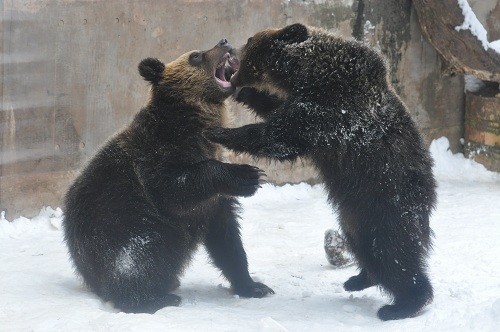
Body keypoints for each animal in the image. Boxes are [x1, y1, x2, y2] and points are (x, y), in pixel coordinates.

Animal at [63, 39, 274, 314]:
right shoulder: (156, 156)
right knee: (140, 255)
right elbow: (173, 190)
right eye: (196, 55)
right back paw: (153, 298)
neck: (191, 123)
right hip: (122, 224)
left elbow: (227, 239)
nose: (224, 41)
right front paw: (248, 175)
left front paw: (253, 286)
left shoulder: (213, 203)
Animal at [205, 24, 436, 320]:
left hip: (387, 205)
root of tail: (427, 203)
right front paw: (248, 95)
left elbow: (279, 137)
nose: (230, 45)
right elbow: (277, 112)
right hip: (355, 214)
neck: (308, 73)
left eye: (249, 39)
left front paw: (219, 131)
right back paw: (358, 279)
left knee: (394, 253)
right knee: (363, 244)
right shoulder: (308, 105)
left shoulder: (331, 111)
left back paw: (402, 304)